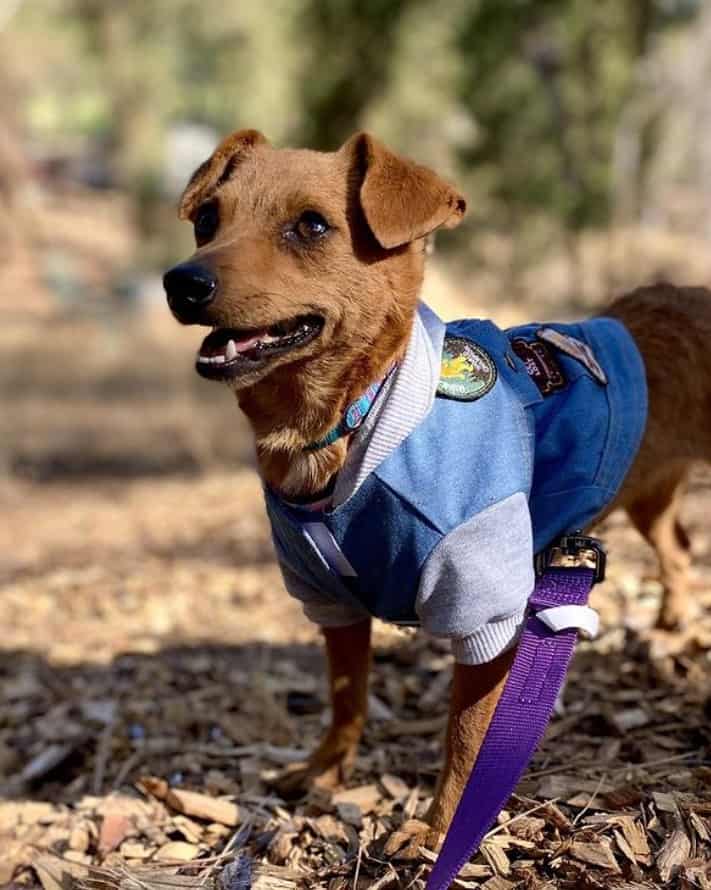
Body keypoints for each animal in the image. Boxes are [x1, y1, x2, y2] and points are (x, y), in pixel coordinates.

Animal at [163, 130, 711, 852]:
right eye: (206, 220)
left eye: (311, 225)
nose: (182, 280)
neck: (352, 424)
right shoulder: (332, 604)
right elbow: (347, 698)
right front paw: (324, 772)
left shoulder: (485, 616)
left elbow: (465, 738)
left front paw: (437, 830)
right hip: (647, 495)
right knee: (678, 549)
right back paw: (673, 624)